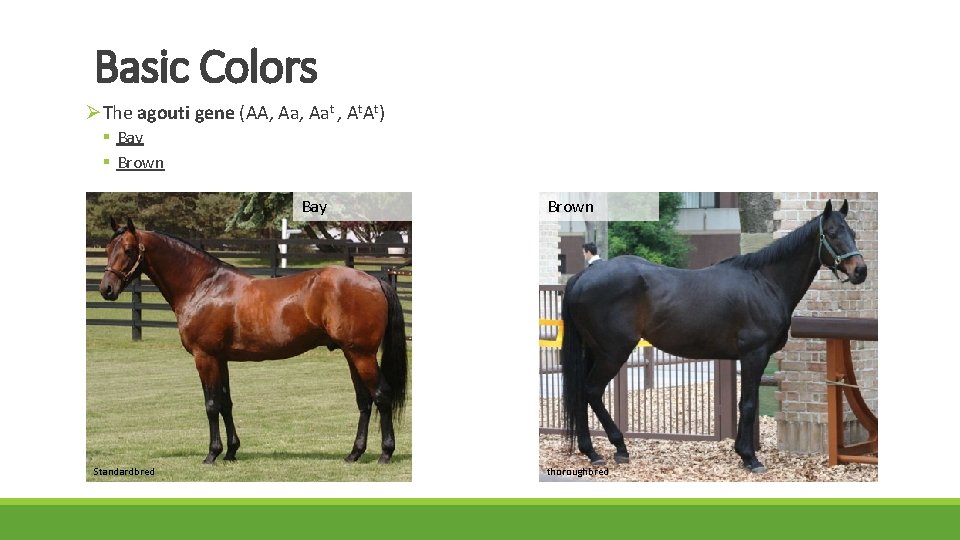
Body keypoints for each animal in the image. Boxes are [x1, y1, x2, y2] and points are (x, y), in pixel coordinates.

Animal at [98, 218, 408, 465]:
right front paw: (231, 451)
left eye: (128, 250)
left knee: (381, 396)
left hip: (362, 355)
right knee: (364, 401)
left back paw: (385, 453)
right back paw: (354, 454)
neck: (203, 286)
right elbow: (226, 403)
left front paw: (212, 454)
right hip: (351, 354)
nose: (106, 289)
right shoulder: (220, 359)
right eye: (107, 249)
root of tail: (374, 280)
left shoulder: (204, 357)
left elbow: (211, 404)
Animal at [561, 199, 867, 472]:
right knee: (592, 390)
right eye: (832, 233)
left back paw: (591, 451)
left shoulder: (751, 357)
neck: (765, 282)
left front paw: (742, 452)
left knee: (581, 393)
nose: (860, 270)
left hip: (595, 351)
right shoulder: (754, 354)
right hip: (613, 352)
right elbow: (749, 404)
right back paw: (618, 447)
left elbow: (746, 403)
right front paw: (750, 458)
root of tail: (582, 278)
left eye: (853, 232)